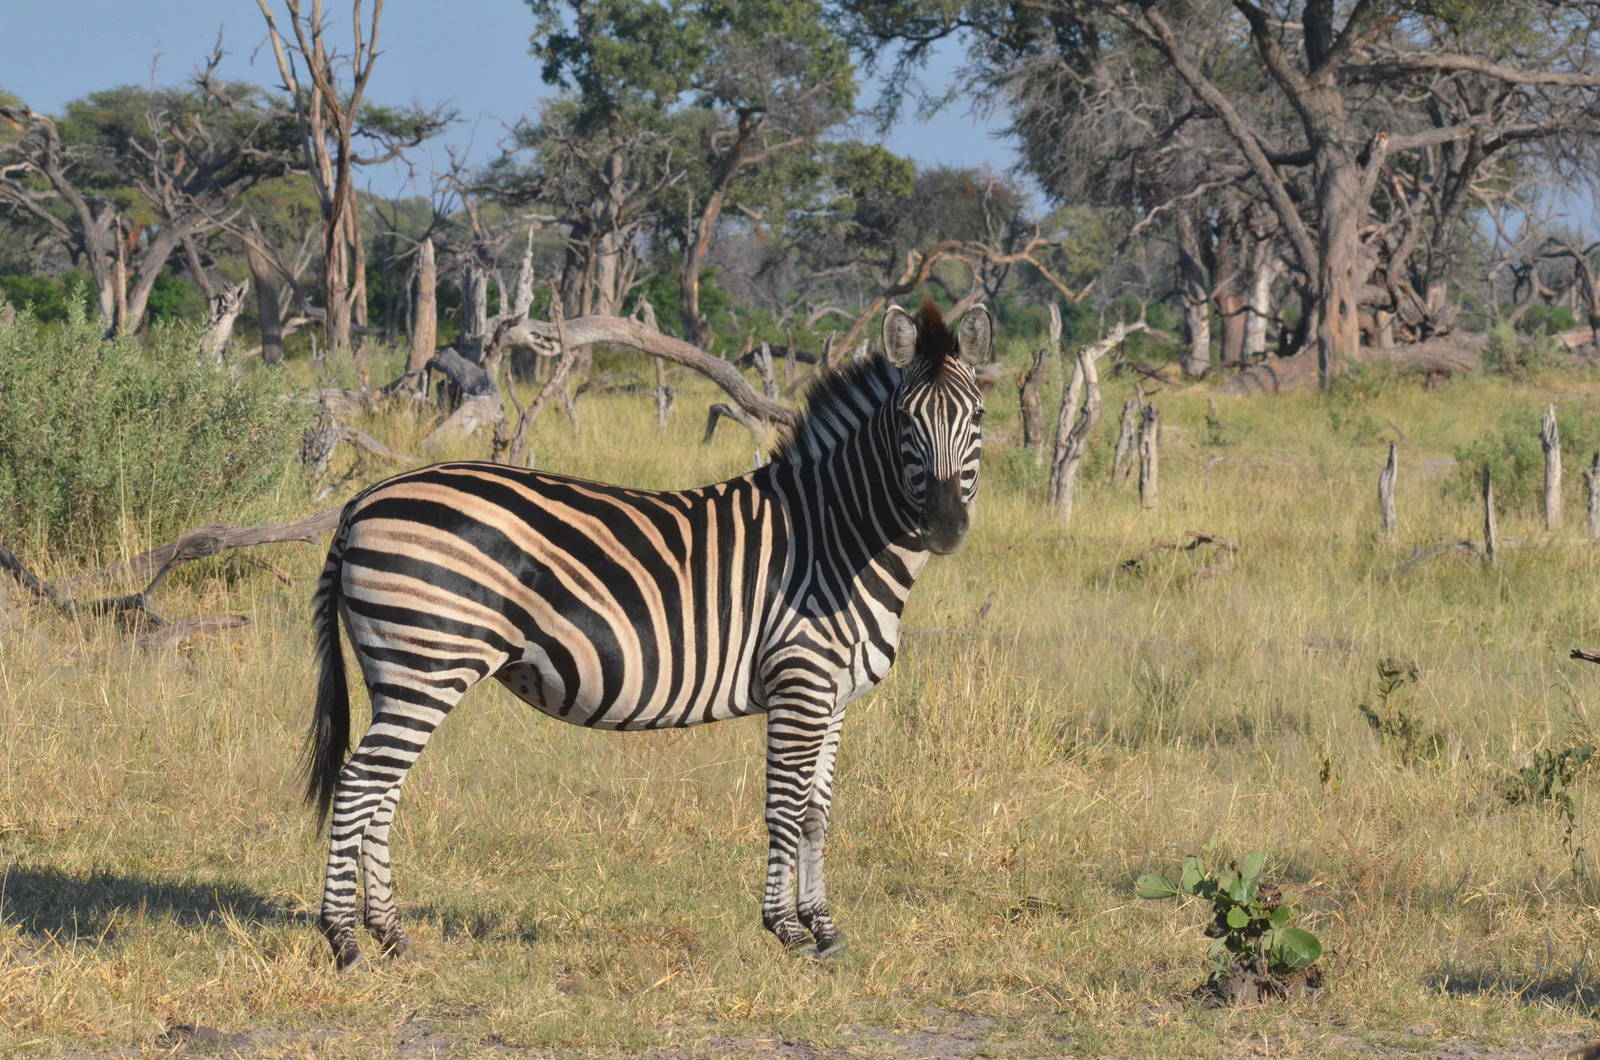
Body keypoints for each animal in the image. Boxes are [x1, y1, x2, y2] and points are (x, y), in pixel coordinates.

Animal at [303, 298, 992, 969]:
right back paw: (344, 940)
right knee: (360, 784)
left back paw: (391, 934)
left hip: (400, 675)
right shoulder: (799, 682)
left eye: (978, 415)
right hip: (427, 665)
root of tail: (363, 501)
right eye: (905, 420)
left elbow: (817, 813)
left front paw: (823, 929)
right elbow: (785, 807)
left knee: (382, 792)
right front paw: (786, 931)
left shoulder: (833, 695)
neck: (835, 536)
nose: (945, 527)